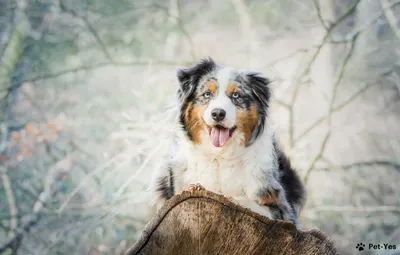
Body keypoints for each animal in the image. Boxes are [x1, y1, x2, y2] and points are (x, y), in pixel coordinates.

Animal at [150, 57, 306, 225]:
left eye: (236, 95)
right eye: (207, 94)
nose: (218, 113)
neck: (220, 155)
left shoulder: (282, 208)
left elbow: (249, 203)